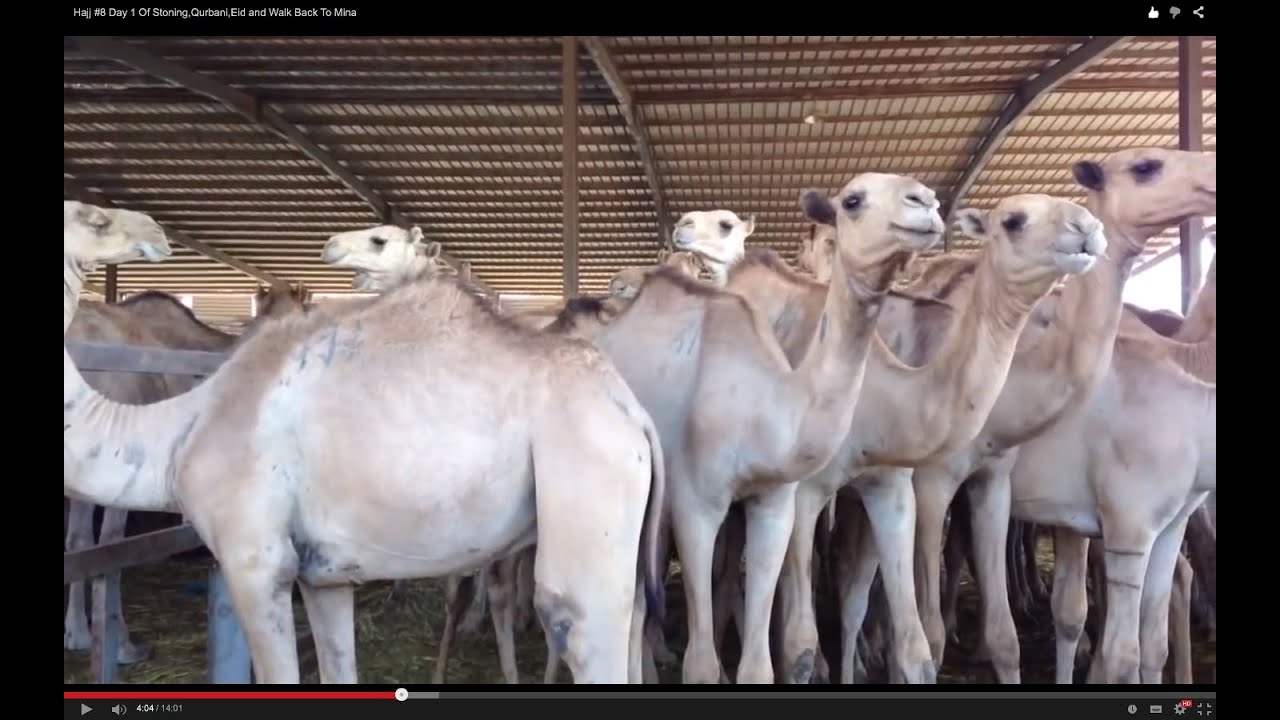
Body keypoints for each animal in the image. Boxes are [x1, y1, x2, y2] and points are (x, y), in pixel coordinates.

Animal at [547, 176, 942, 681]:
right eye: (852, 200)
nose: (927, 203)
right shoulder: (696, 507)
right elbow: (700, 662)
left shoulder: (775, 504)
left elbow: (758, 663)